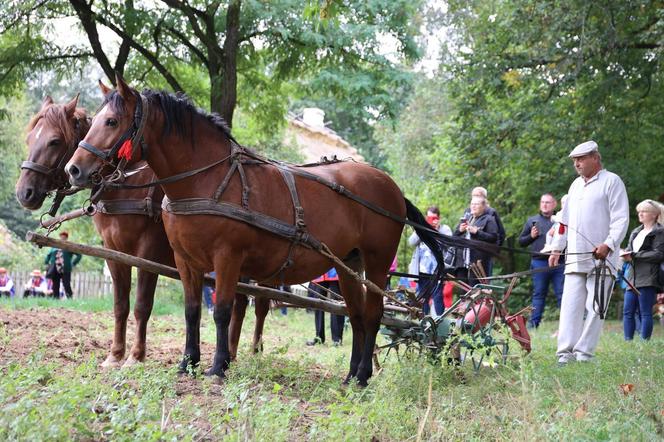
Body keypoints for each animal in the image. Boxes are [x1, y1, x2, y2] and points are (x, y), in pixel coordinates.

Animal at [16, 96, 270, 366]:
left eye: (54, 141)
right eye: (30, 139)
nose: (24, 193)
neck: (127, 187)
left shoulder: (148, 253)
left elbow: (142, 305)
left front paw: (135, 356)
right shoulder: (114, 253)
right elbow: (120, 305)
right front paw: (115, 355)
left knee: (256, 304)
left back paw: (250, 349)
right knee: (241, 302)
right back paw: (232, 352)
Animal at [66, 77, 446, 386]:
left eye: (112, 121)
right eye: (93, 121)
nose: (74, 169)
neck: (206, 180)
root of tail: (391, 187)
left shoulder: (226, 258)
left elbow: (220, 310)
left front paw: (217, 366)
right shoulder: (186, 261)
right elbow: (192, 310)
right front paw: (188, 363)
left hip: (377, 263)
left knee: (372, 315)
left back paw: (364, 374)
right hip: (348, 265)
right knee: (355, 316)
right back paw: (352, 375)